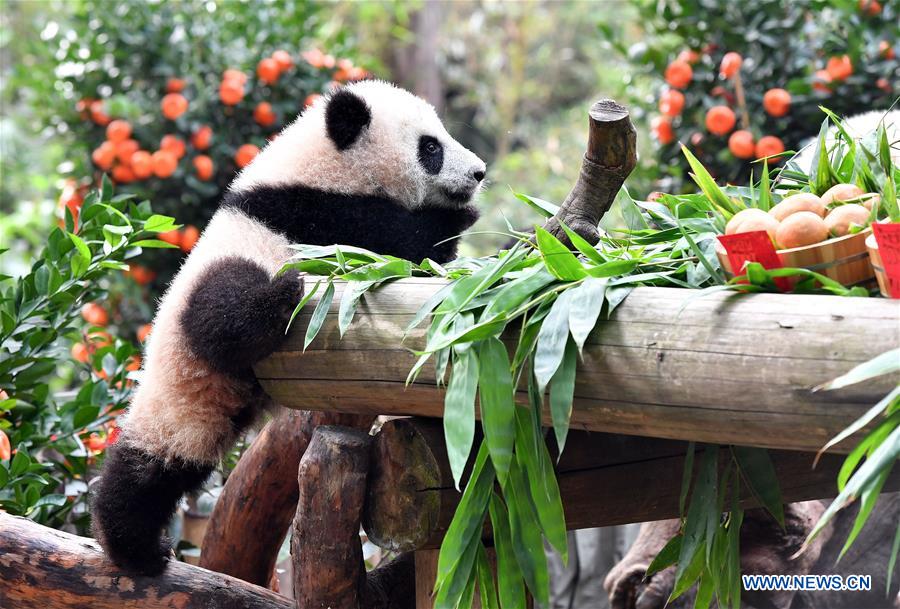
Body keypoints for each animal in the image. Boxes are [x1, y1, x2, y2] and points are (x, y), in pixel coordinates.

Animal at [91, 80, 487, 575]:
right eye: (430, 147)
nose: (479, 173)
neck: (324, 164)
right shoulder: (310, 213)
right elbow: (395, 239)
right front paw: (457, 219)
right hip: (209, 303)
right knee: (219, 312)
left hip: (203, 407)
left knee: (161, 466)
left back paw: (132, 543)